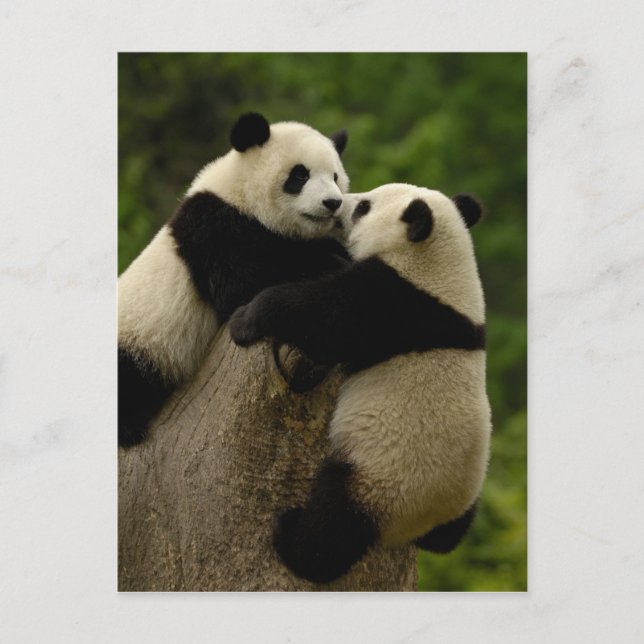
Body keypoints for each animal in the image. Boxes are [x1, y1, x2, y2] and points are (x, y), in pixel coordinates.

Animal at [118, 112, 350, 448]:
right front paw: (331, 264)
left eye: (335, 176)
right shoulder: (215, 229)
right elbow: (245, 284)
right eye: (299, 175)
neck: (239, 192)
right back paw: (128, 428)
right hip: (139, 341)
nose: (333, 202)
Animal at [228, 183, 492, 583]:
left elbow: (322, 318)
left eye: (364, 207)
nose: (336, 204)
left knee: (333, 522)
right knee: (451, 537)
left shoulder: (394, 303)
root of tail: (417, 525)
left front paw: (245, 319)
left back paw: (292, 539)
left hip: (376, 480)